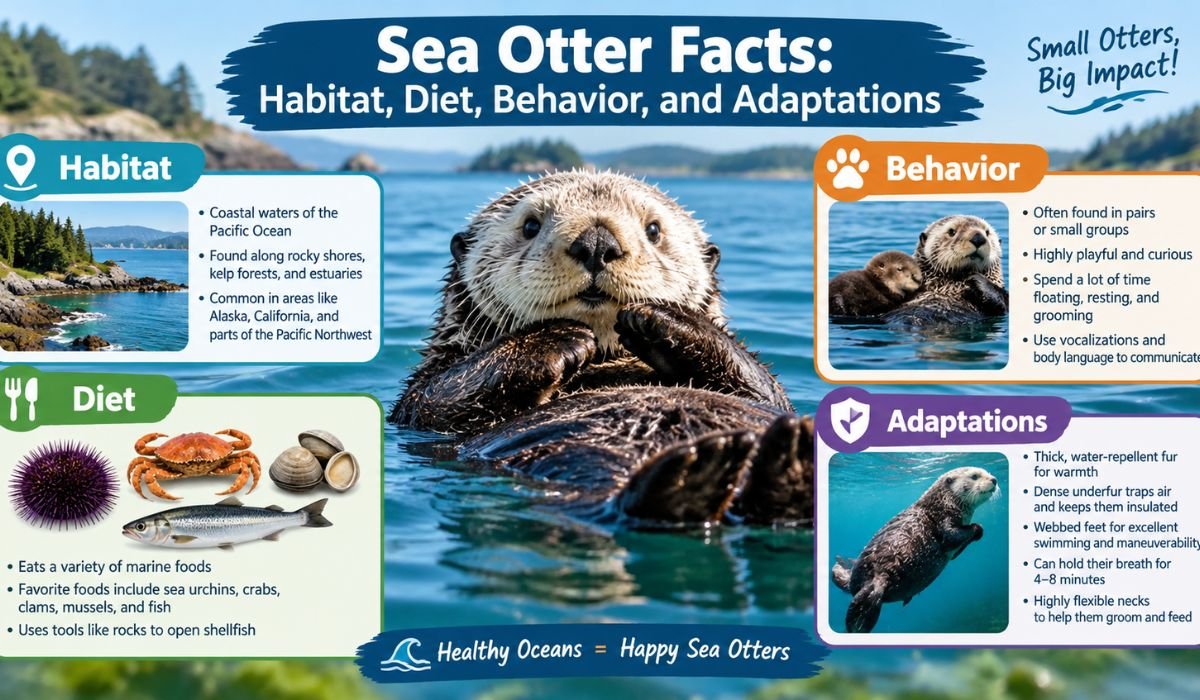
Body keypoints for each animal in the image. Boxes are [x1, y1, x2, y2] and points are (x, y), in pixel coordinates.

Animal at [390, 170, 812, 526]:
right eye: (530, 226)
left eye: (654, 229)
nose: (596, 242)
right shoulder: (425, 406)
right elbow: (435, 397)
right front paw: (562, 338)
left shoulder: (766, 395)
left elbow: (766, 388)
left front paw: (661, 318)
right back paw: (703, 474)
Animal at [832, 466, 998, 633]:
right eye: (975, 476)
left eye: (987, 473)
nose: (994, 480)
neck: (943, 502)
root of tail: (855, 584)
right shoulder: (944, 520)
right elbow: (952, 536)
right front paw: (975, 529)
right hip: (881, 575)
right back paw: (857, 626)